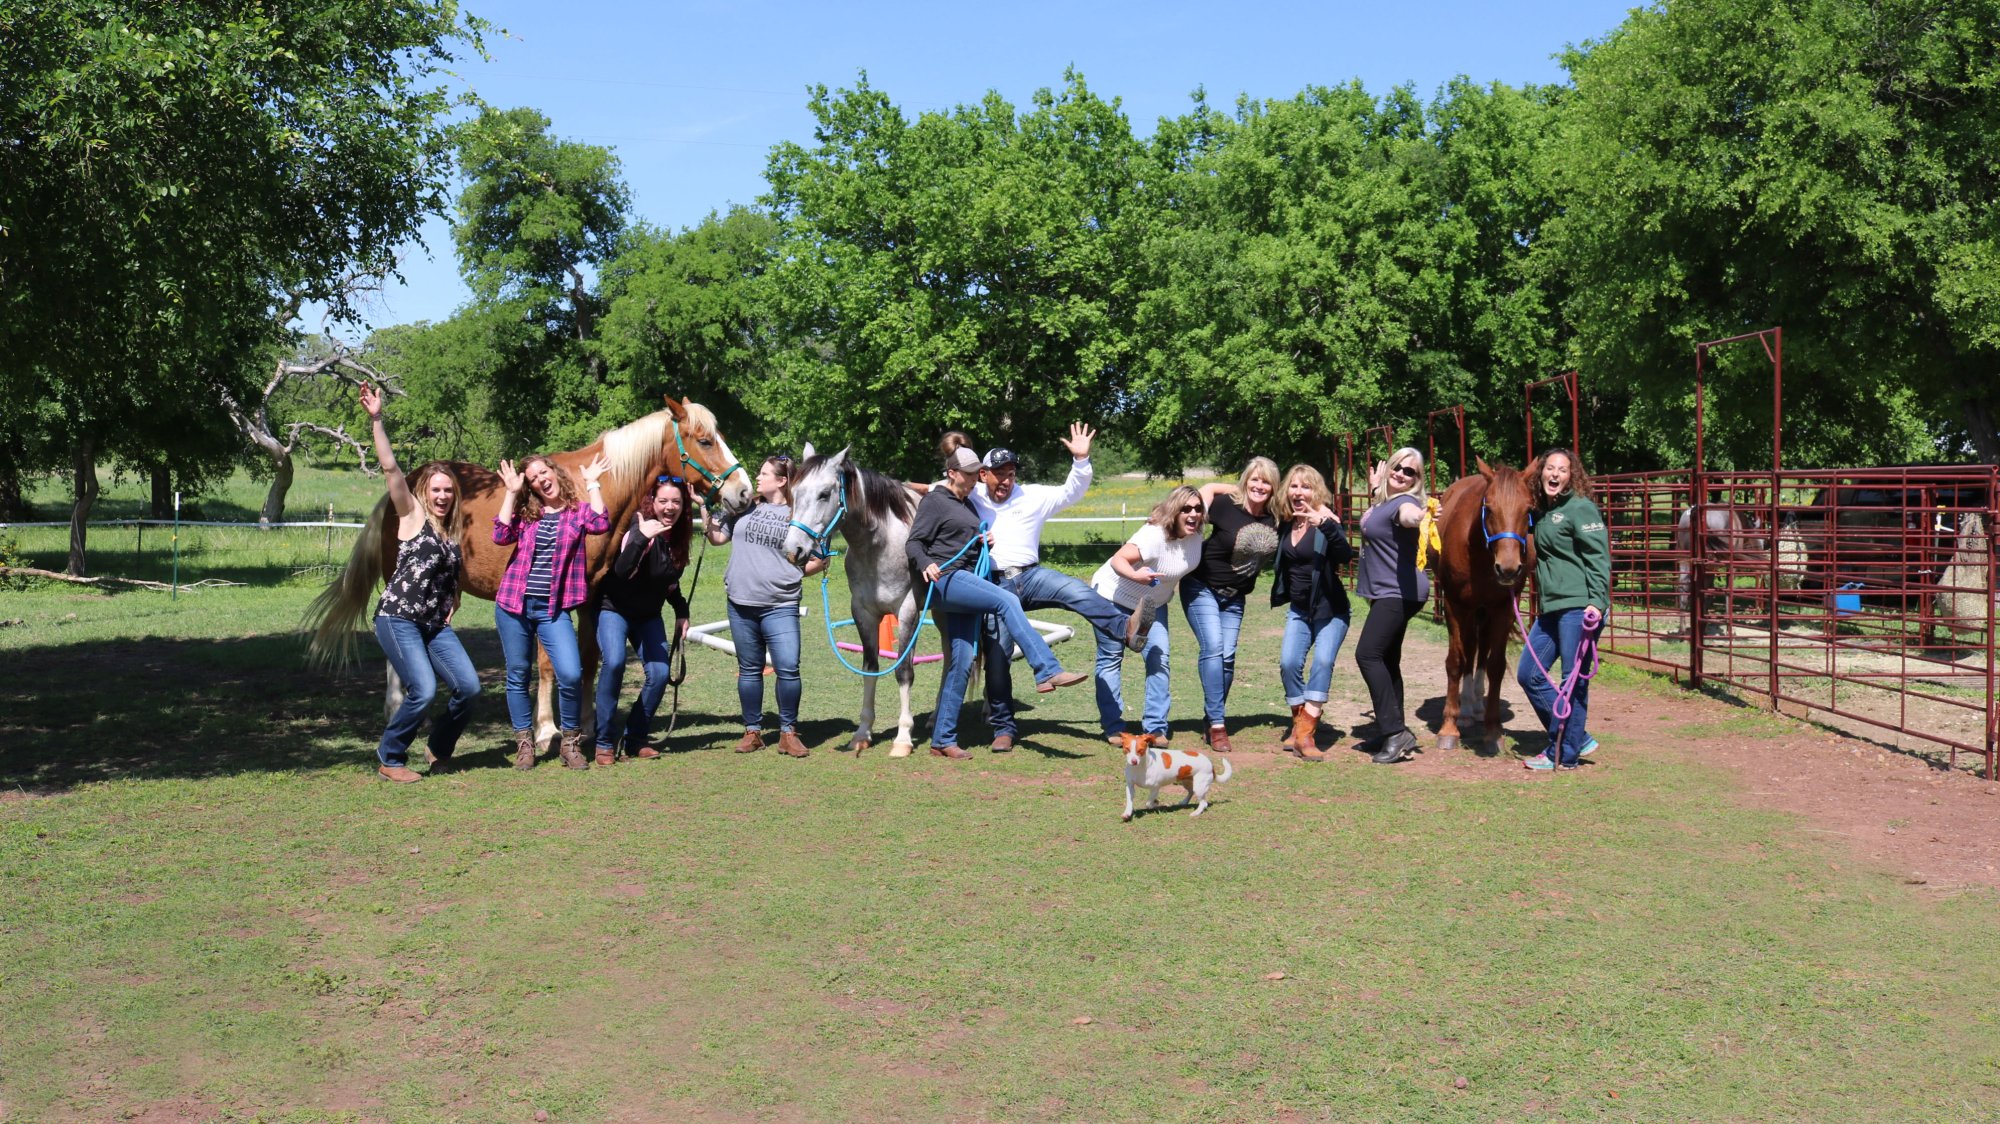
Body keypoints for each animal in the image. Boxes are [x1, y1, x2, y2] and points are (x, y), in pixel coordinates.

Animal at [306, 396, 754, 749]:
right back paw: (399, 706)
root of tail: (402, 489)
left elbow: (588, 659)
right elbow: (548, 663)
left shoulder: (590, 597)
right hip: (397, 580)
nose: (744, 493)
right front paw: (546, 730)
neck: (592, 494)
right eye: (705, 440)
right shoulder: (548, 599)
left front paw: (587, 725)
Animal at [779, 447, 926, 756]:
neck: (880, 544)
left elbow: (904, 671)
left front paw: (903, 738)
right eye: (794, 492)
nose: (792, 550)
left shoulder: (908, 611)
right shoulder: (863, 612)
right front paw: (862, 734)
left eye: (824, 494)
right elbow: (870, 669)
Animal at [1431, 458, 1537, 753]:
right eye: (1488, 508)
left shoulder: (1502, 608)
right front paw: (1449, 728)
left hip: (1484, 611)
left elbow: (1495, 665)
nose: (1508, 569)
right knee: (1468, 649)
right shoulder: (1455, 605)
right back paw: (1466, 710)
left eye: (1528, 509)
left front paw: (1493, 731)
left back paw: (1476, 705)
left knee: (1481, 649)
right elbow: (1456, 661)